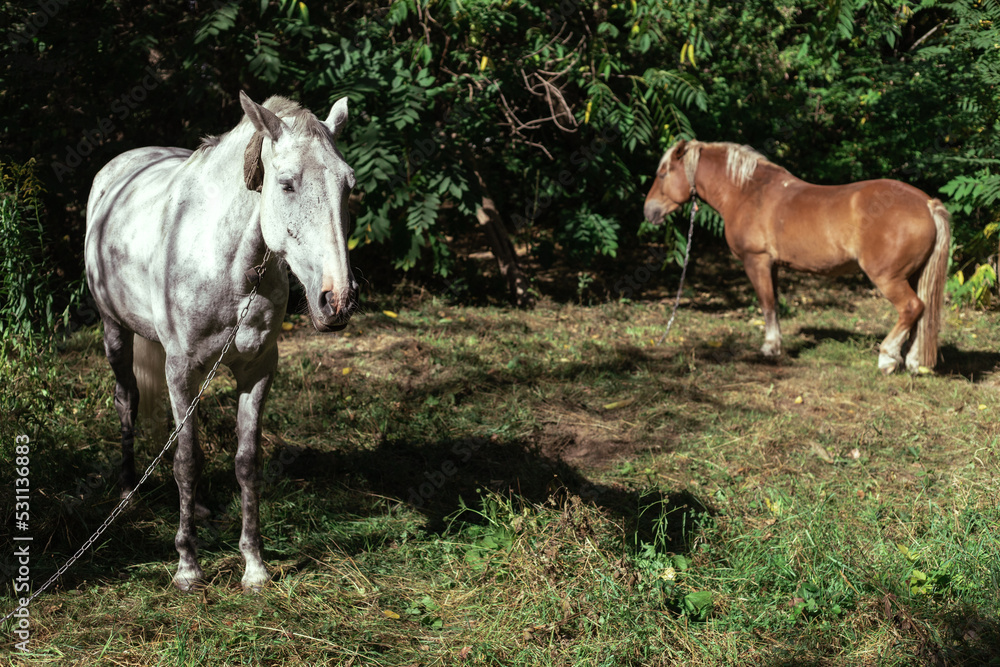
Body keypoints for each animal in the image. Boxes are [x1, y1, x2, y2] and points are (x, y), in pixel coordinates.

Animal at [85, 91, 359, 592]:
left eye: (348, 184)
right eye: (286, 185)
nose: (338, 299)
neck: (230, 262)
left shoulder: (257, 369)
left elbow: (246, 461)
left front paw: (254, 565)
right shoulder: (180, 369)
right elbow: (186, 461)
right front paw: (188, 567)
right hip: (115, 330)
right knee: (126, 399)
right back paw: (129, 493)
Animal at [644, 140, 950, 374]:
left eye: (663, 173)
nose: (649, 211)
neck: (747, 192)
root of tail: (927, 203)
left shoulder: (756, 261)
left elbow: (767, 304)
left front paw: (770, 348)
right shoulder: (773, 266)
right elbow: (774, 303)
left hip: (888, 278)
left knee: (911, 308)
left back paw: (887, 358)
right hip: (915, 275)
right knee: (922, 314)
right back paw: (914, 362)